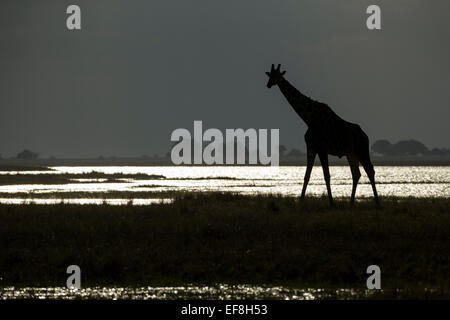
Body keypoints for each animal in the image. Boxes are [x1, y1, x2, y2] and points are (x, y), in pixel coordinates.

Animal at [268, 64, 380, 208]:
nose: (268, 84)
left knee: (370, 170)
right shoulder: (311, 148)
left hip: (362, 151)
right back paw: (351, 203)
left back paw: (377, 204)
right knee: (356, 173)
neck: (308, 119)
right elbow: (307, 176)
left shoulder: (322, 149)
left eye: (277, 76)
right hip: (351, 153)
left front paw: (332, 203)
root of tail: (366, 136)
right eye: (269, 75)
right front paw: (301, 201)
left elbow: (327, 175)